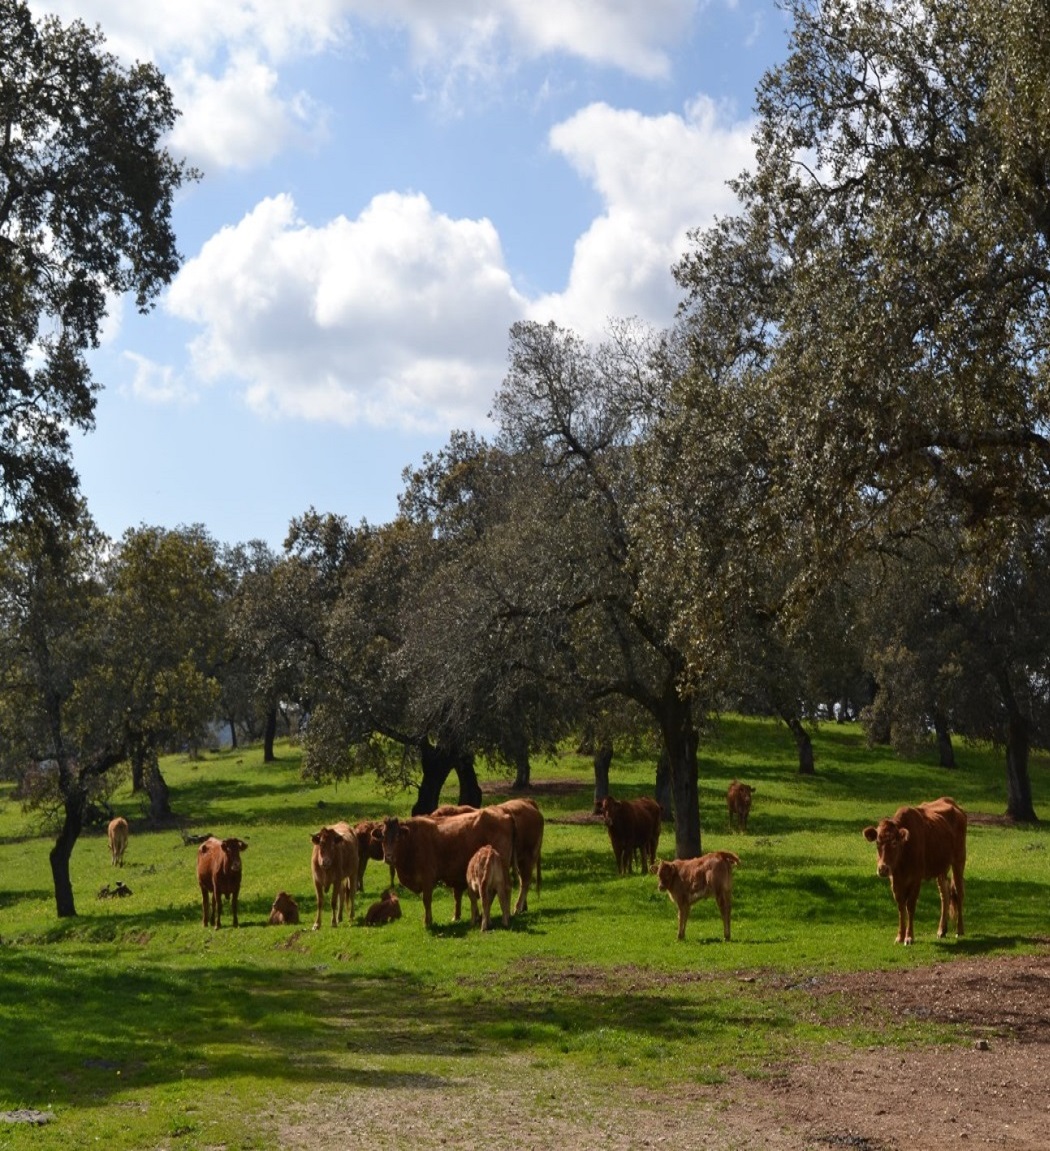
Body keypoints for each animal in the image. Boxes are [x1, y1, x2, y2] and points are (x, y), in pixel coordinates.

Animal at [384, 805, 518, 930]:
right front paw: (457, 917)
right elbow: (457, 897)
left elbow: (427, 900)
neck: (412, 839)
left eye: (397, 836)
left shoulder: (427, 880)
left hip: (503, 868)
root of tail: (506, 815)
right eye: (383, 836)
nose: (388, 856)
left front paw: (428, 922)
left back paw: (506, 916)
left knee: (505, 888)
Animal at [861, 791, 967, 943]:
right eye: (877, 842)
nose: (883, 869)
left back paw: (959, 930)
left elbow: (910, 905)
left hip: (959, 860)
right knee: (944, 894)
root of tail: (954, 804)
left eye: (894, 842)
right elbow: (901, 906)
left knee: (959, 892)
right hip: (941, 867)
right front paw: (900, 936)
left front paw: (909, 937)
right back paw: (941, 930)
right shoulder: (895, 879)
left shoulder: (916, 878)